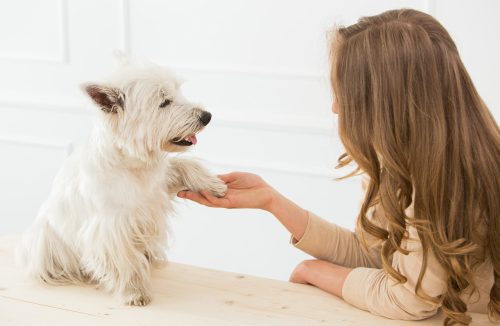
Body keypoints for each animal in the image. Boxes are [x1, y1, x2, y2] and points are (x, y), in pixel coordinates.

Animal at [15, 56, 227, 306]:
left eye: (178, 90)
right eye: (164, 102)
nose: (207, 116)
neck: (133, 164)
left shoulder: (158, 184)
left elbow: (184, 165)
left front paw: (214, 185)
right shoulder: (111, 226)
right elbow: (124, 260)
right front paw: (134, 292)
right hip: (43, 241)